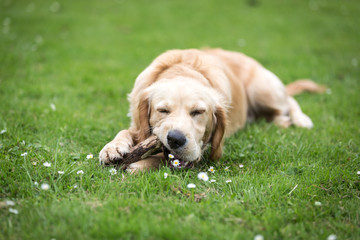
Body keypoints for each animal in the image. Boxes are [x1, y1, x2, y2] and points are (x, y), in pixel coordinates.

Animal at [99, 47, 326, 170]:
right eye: (162, 111)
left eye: (198, 112)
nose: (175, 139)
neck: (184, 69)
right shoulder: (137, 123)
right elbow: (127, 131)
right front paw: (112, 147)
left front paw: (140, 164)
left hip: (262, 89)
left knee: (289, 100)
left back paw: (300, 119)